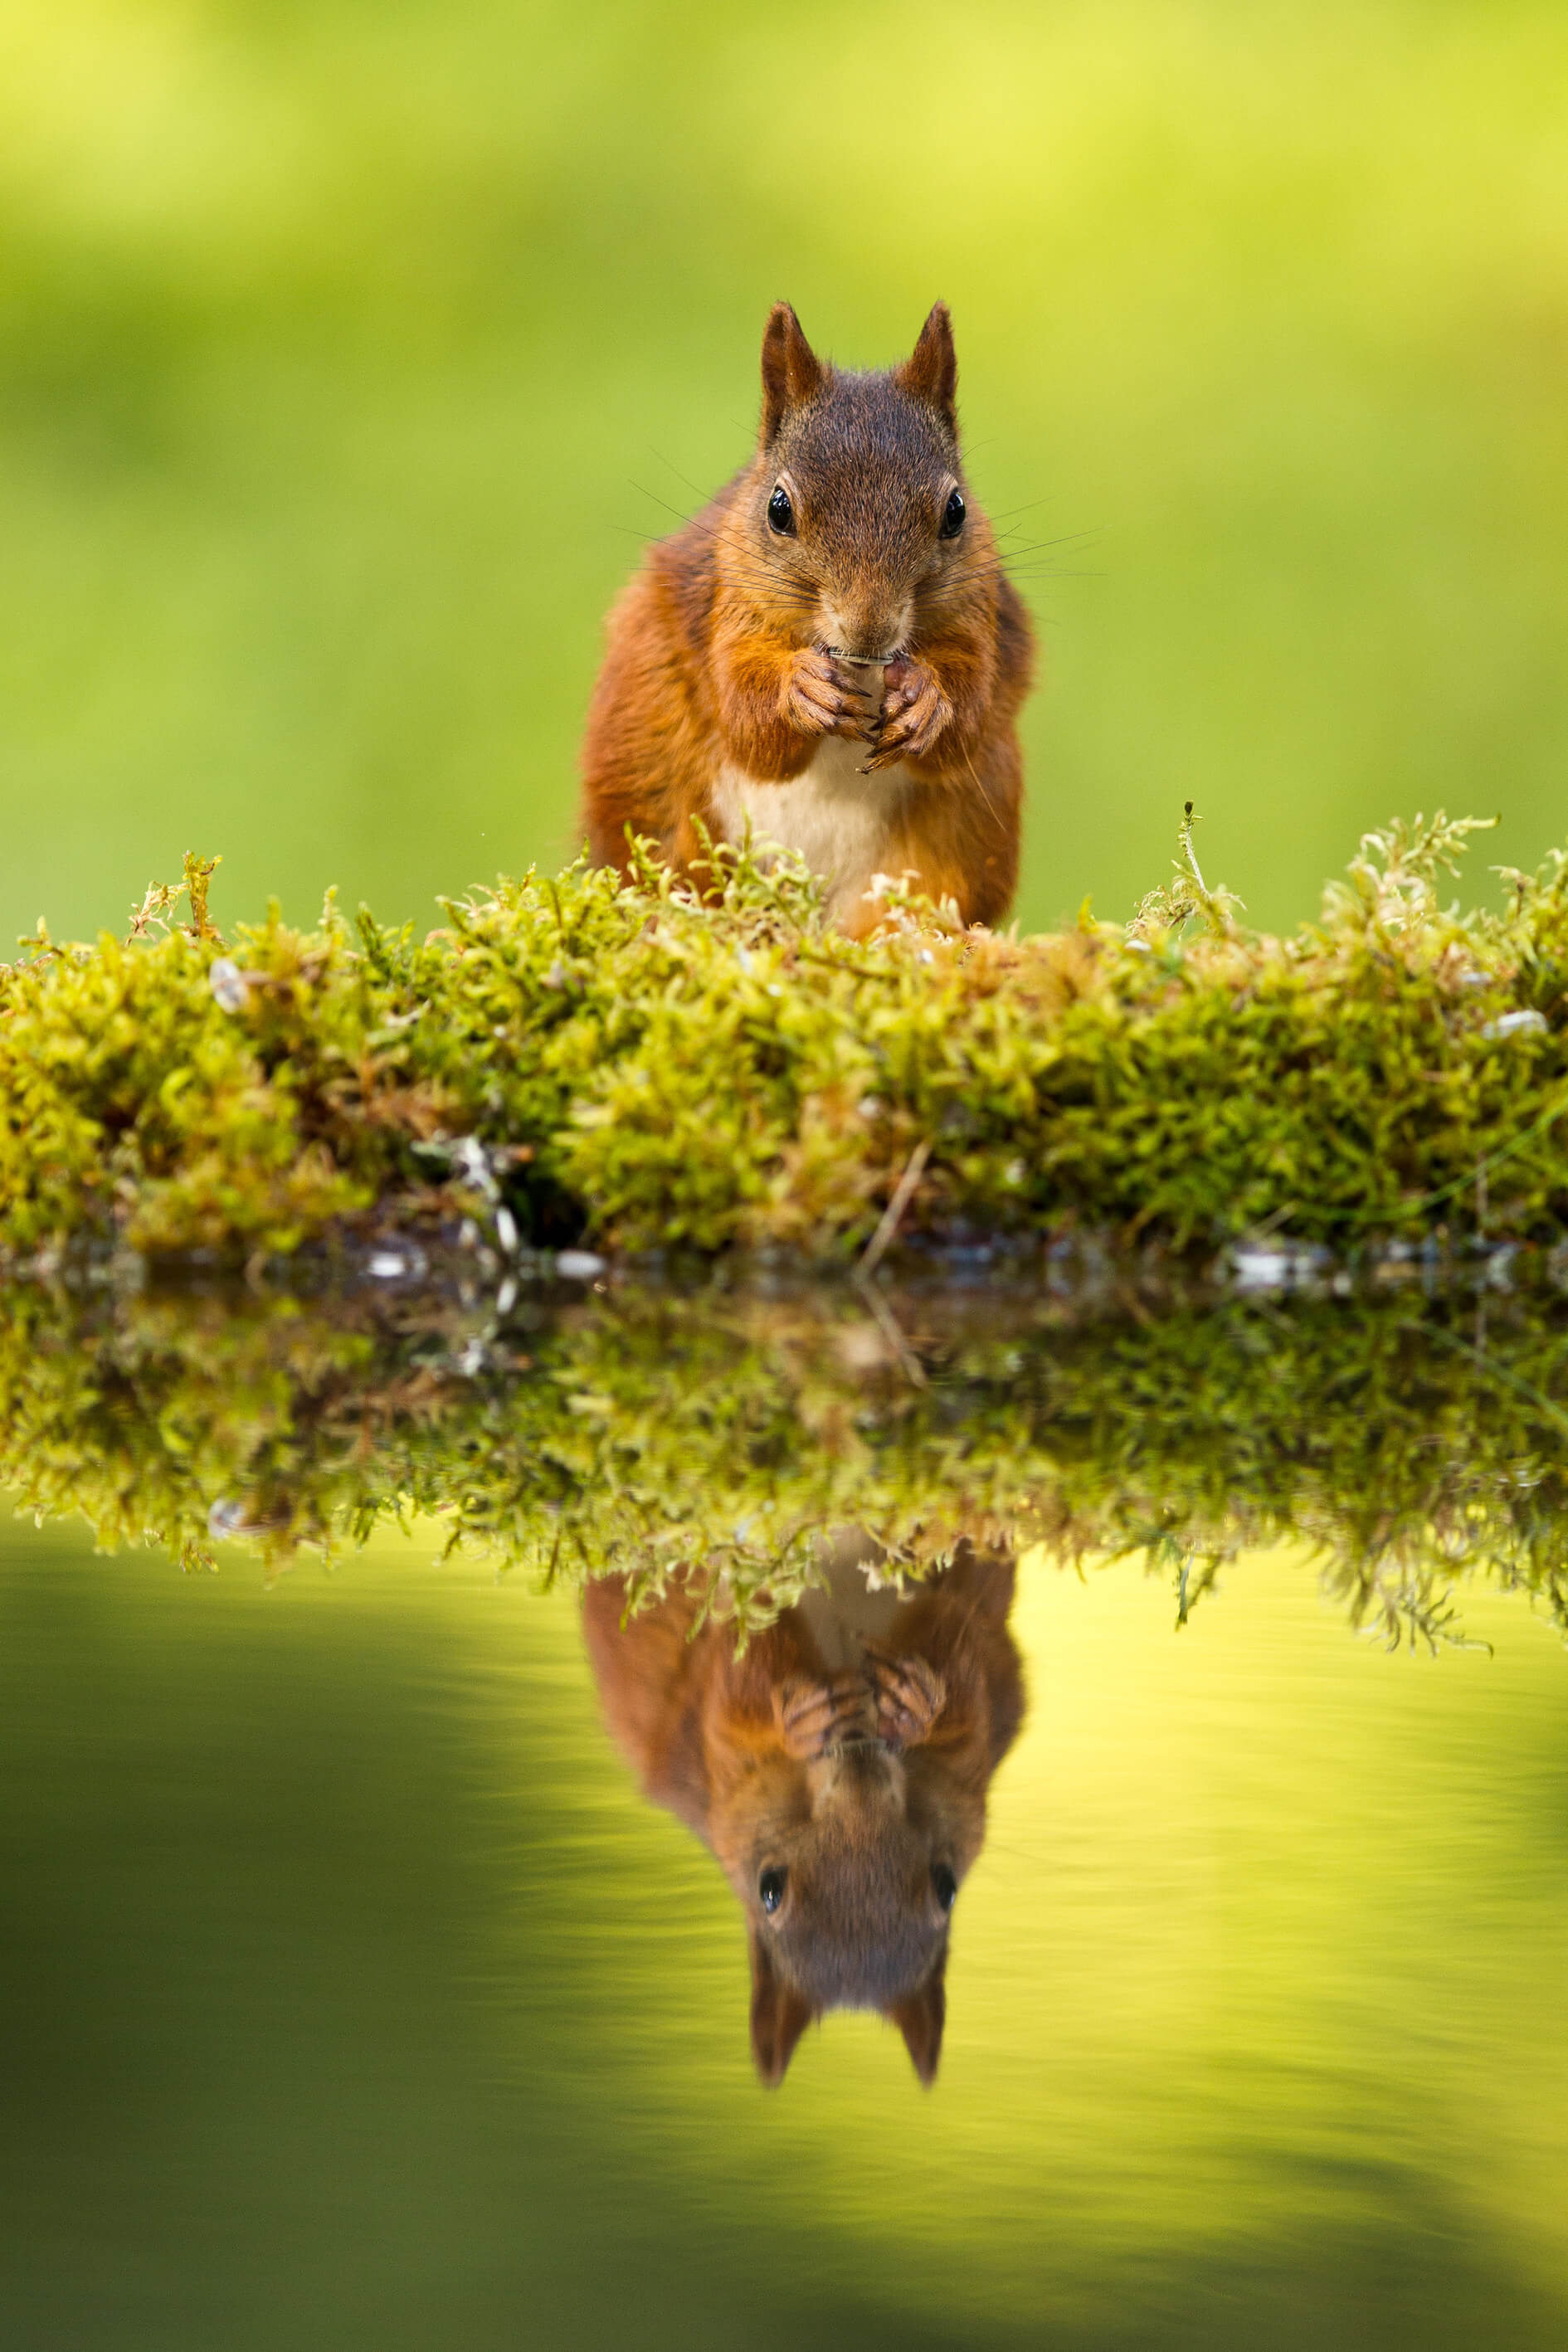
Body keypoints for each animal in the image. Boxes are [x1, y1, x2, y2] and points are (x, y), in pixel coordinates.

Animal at [582, 303, 1034, 936]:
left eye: (956, 511)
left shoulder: (980, 616)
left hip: (964, 829)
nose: (868, 628)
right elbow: (746, 719)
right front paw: (800, 690)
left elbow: (969, 709)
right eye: (779, 509)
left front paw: (927, 699)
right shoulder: (728, 606)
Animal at [582, 1533, 1025, 2088]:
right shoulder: (709, 1752)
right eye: (768, 1890)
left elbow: (968, 1689)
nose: (861, 1778)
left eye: (947, 1888)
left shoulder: (979, 1733)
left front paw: (914, 1702)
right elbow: (735, 1693)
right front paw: (800, 1718)